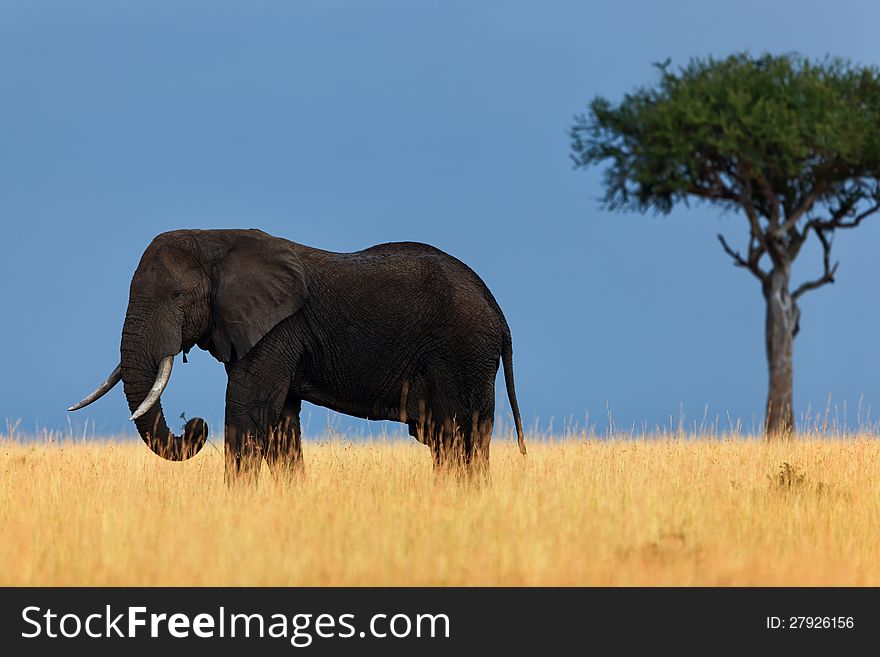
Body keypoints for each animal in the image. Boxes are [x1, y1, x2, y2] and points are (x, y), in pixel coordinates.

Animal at [70, 227, 524, 476]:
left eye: (177, 296)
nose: (195, 425)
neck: (215, 238)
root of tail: (499, 315)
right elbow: (281, 424)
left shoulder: (277, 331)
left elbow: (248, 413)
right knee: (449, 443)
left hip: (464, 354)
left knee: (459, 437)